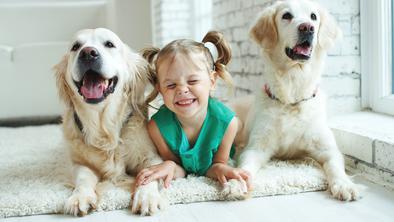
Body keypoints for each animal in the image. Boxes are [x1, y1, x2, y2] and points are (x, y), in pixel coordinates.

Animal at [54, 28, 165, 217]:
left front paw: (146, 197)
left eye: (109, 44)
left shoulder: (151, 156)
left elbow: (150, 173)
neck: (104, 126)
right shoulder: (78, 162)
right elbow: (83, 177)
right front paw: (79, 197)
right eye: (75, 47)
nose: (88, 53)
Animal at [225, 0, 364, 201]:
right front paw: (236, 183)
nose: (307, 28)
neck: (292, 95)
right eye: (286, 16)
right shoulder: (256, 147)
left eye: (313, 16)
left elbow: (335, 166)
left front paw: (345, 185)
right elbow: (245, 167)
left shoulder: (327, 148)